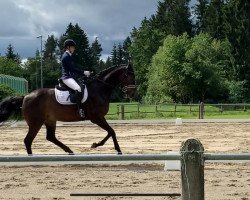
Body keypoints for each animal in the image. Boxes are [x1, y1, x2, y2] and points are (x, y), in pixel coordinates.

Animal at [0, 64, 136, 155]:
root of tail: (25, 97)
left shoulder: (98, 118)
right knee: (28, 140)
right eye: (129, 76)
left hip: (50, 120)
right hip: (36, 123)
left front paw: (100, 145)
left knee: (50, 137)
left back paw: (69, 150)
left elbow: (110, 132)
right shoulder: (96, 117)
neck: (99, 88)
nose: (132, 93)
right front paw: (107, 147)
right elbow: (111, 131)